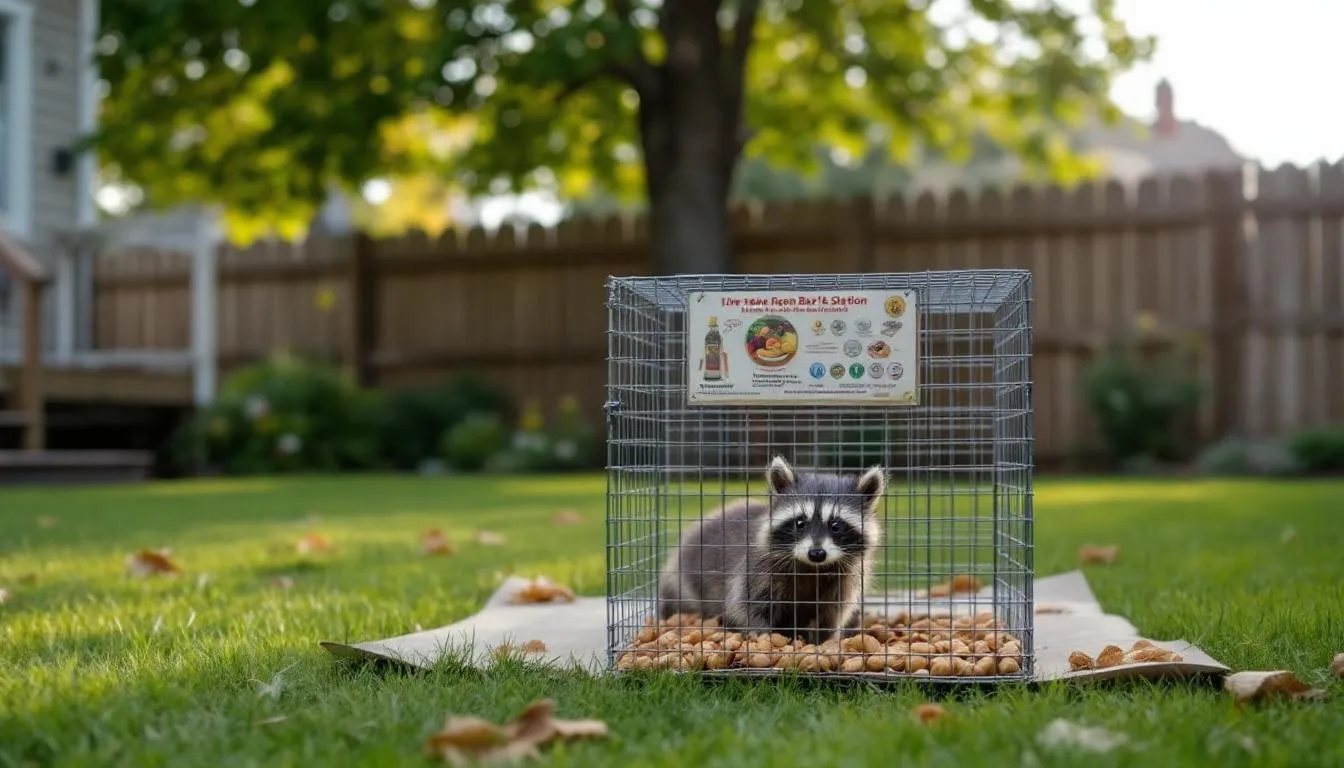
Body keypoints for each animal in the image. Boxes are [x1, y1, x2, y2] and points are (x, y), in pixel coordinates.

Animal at [656, 455, 887, 645]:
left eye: (836, 526)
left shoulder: (844, 578)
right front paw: (763, 637)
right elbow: (746, 606)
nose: (817, 554)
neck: (811, 567)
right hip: (683, 582)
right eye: (800, 523)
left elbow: (830, 614)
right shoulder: (757, 568)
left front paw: (820, 641)